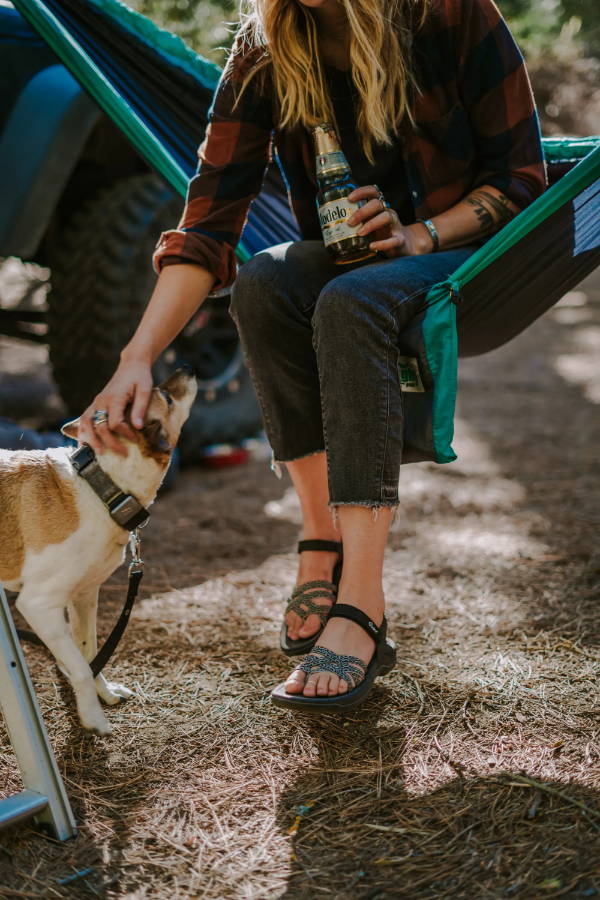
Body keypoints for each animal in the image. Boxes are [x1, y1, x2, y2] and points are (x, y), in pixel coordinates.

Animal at [0, 370, 197, 736]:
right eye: (167, 396)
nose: (187, 368)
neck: (100, 489)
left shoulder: (83, 596)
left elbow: (89, 652)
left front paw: (102, 693)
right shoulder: (39, 605)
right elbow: (79, 666)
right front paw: (92, 717)